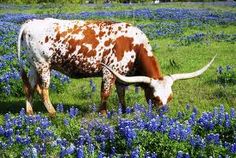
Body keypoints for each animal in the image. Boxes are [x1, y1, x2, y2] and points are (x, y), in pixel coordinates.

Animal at [16, 18, 216, 116]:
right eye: (154, 98)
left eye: (171, 98)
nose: (164, 116)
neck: (134, 45)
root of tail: (30, 22)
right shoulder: (108, 72)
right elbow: (105, 93)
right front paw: (103, 113)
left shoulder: (122, 75)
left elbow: (121, 94)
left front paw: (124, 111)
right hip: (43, 65)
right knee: (44, 89)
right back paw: (52, 112)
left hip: (33, 65)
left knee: (29, 87)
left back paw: (30, 112)